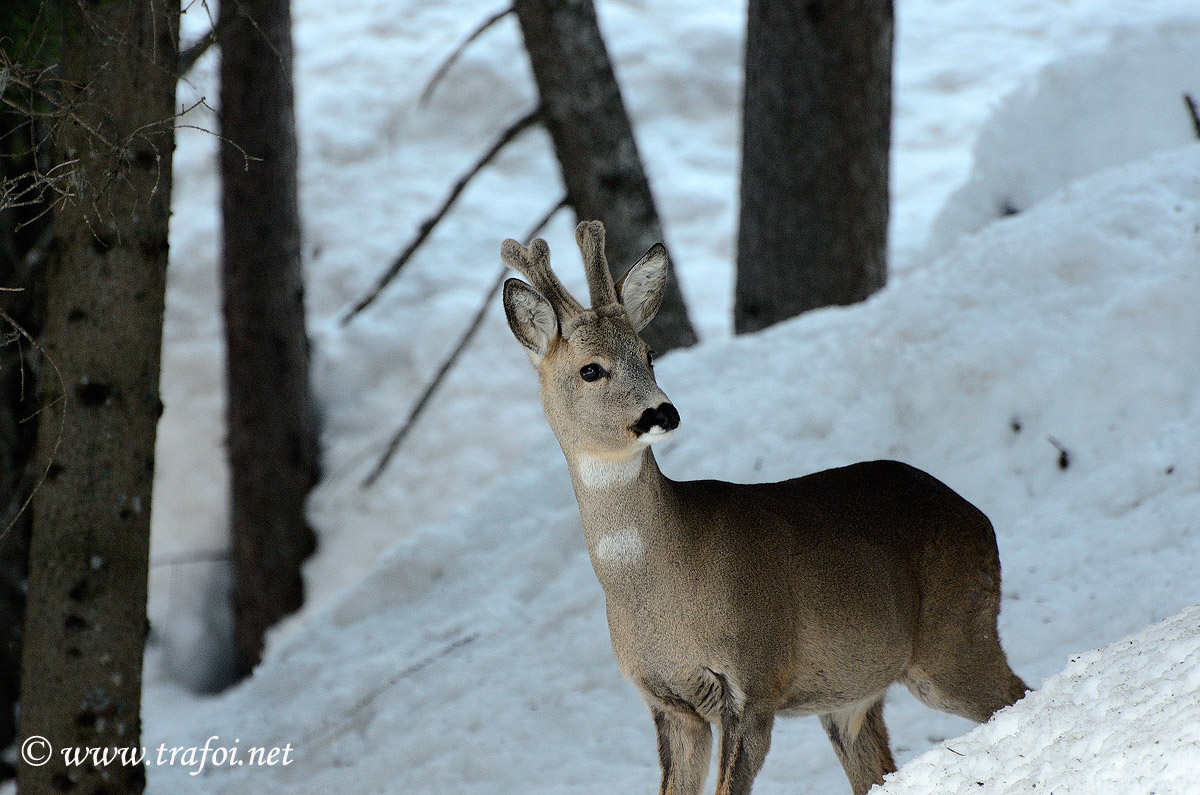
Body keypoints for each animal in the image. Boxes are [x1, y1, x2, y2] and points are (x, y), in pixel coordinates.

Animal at [501, 222, 1027, 795]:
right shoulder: (669, 703)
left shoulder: (756, 679)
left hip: (953, 635)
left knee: (1015, 693)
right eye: (591, 370)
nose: (662, 412)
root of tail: (981, 520)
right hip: (852, 693)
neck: (662, 590)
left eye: (649, 352)